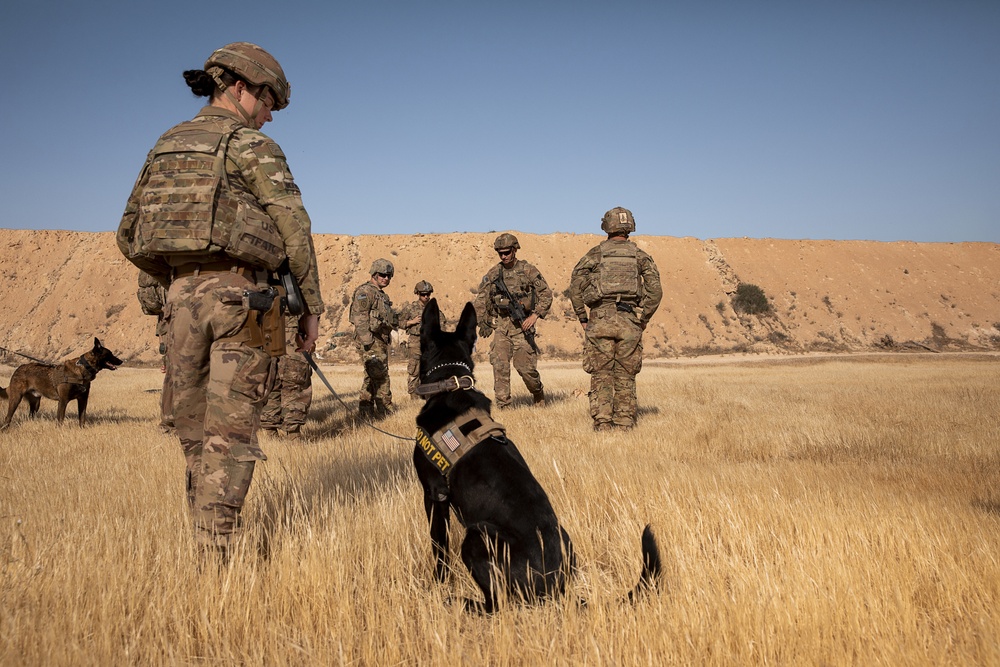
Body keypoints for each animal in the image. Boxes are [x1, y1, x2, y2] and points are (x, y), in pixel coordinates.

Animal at [410, 300, 660, 612]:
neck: (450, 382)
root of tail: (558, 586)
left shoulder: (434, 494)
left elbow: (439, 547)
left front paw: (437, 584)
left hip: (477, 535)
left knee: (498, 604)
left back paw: (458, 601)